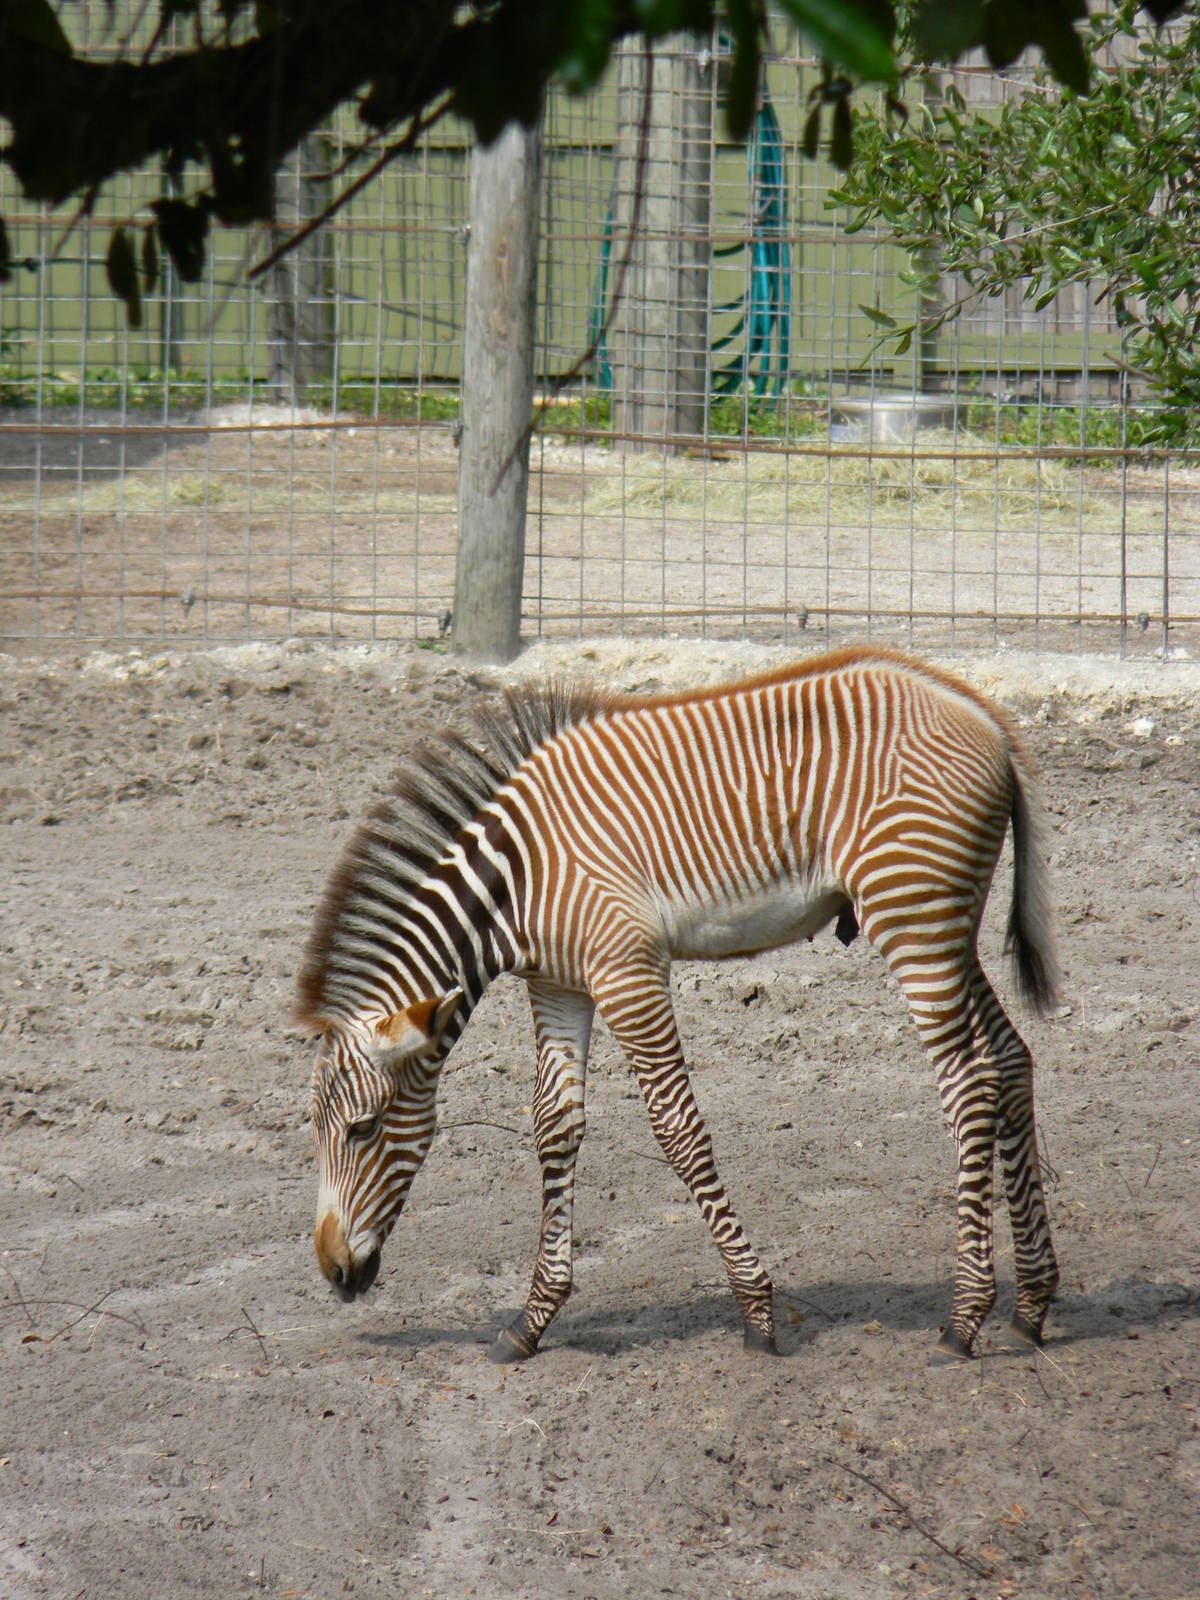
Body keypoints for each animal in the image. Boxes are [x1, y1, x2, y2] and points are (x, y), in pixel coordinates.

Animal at [297, 647, 1060, 1364]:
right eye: (316, 1130)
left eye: (363, 1129)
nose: (333, 1272)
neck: (513, 883)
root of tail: (982, 713)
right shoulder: (559, 983)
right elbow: (554, 1126)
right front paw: (532, 1319)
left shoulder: (627, 970)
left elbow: (677, 1130)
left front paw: (756, 1309)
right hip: (944, 926)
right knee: (1009, 1058)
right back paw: (1031, 1304)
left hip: (913, 921)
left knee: (969, 1083)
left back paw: (964, 1318)